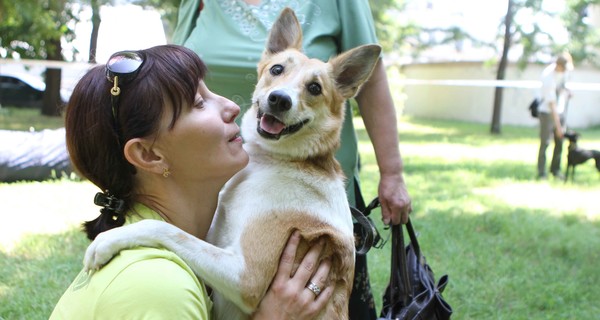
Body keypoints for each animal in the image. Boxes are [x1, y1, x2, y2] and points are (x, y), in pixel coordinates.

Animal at [82, 7, 382, 320]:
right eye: (277, 70)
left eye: (314, 88)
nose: (279, 99)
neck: (270, 161)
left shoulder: (247, 277)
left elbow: (165, 229)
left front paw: (108, 240)